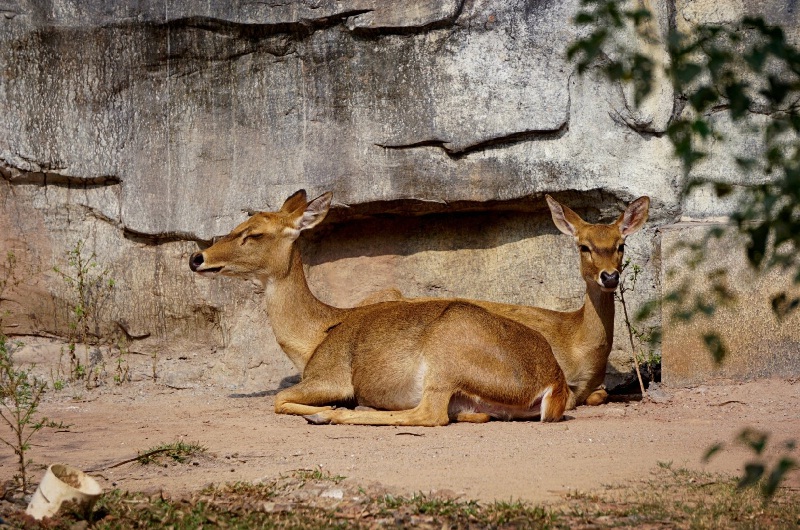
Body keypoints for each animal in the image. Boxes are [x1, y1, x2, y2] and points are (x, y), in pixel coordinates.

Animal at [188, 190, 568, 424]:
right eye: (238, 225)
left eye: (254, 233)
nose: (197, 258)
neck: (314, 336)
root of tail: (553, 383)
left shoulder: (330, 376)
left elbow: (278, 398)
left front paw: (327, 407)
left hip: (447, 353)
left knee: (429, 415)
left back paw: (332, 414)